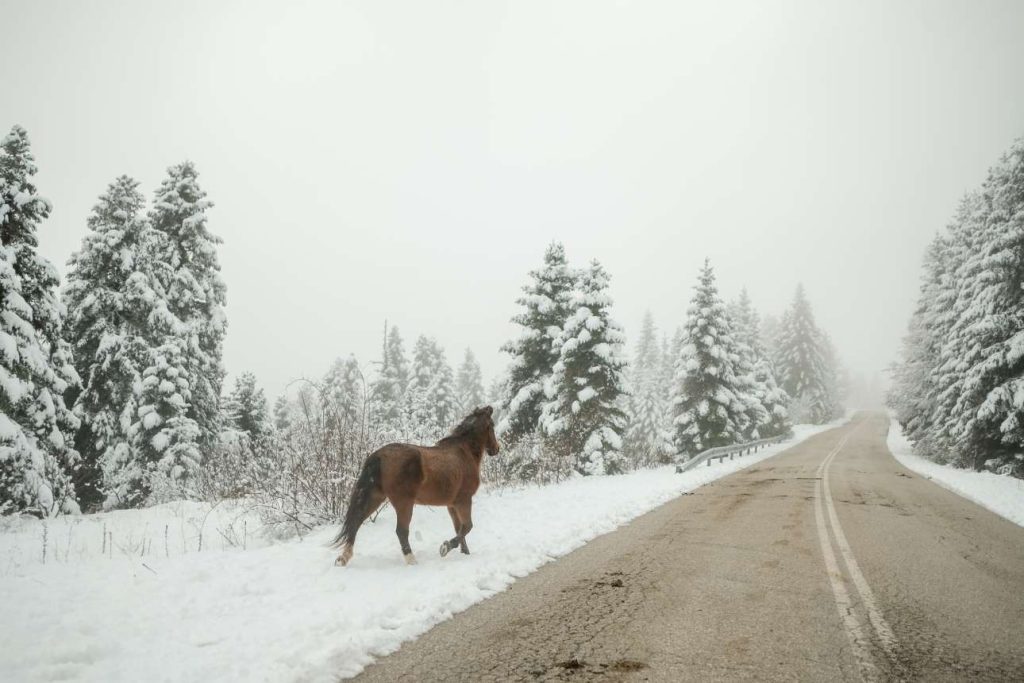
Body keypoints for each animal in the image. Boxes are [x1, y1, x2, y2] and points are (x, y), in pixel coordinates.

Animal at [331, 405, 499, 565]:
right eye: (492, 425)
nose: (496, 449)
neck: (464, 452)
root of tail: (379, 456)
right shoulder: (464, 500)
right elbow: (467, 526)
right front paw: (445, 547)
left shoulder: (451, 504)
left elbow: (459, 528)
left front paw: (464, 552)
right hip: (403, 503)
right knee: (401, 531)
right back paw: (412, 560)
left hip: (375, 497)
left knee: (356, 522)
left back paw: (343, 559)